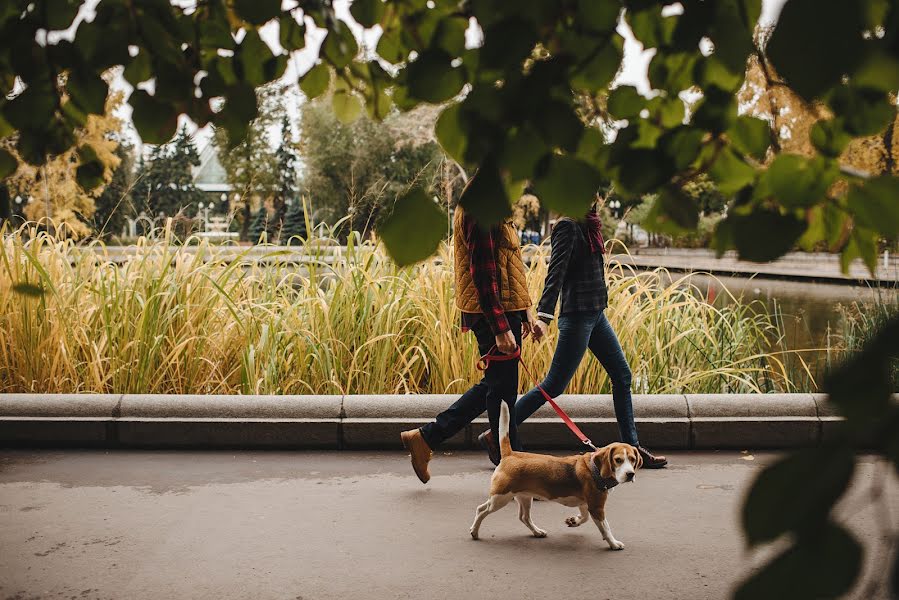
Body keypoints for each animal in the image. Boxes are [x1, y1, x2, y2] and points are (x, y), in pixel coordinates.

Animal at [472, 400, 640, 552]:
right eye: (618, 460)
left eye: (632, 459)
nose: (630, 474)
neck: (595, 468)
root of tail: (510, 454)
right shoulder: (597, 507)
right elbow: (606, 528)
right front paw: (613, 543)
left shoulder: (585, 504)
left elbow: (584, 517)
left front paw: (574, 521)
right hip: (500, 498)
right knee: (481, 509)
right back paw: (474, 531)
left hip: (525, 497)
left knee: (524, 517)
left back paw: (537, 531)